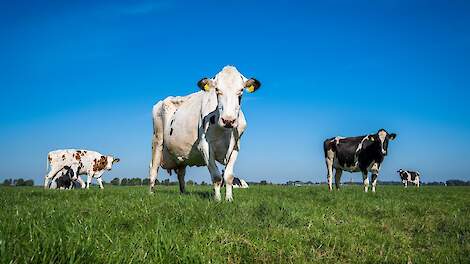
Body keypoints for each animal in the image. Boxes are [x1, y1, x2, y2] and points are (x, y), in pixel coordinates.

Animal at [149, 66, 260, 202]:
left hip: (180, 155)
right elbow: (217, 176)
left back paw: (183, 193)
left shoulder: (235, 147)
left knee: (181, 174)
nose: (228, 120)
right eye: (217, 90)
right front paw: (217, 200)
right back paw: (151, 193)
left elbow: (228, 176)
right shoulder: (204, 146)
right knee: (153, 168)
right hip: (157, 139)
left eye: (241, 91)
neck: (225, 131)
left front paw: (229, 199)